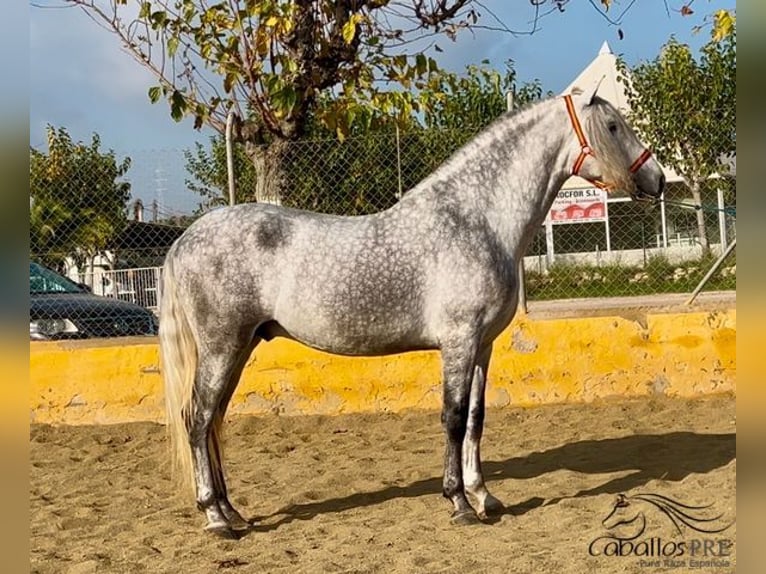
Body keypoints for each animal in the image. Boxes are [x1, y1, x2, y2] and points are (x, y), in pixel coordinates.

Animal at [160, 86, 664, 540]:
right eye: (613, 125)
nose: (657, 180)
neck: (476, 220)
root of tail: (184, 239)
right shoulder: (459, 341)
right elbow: (453, 418)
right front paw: (459, 503)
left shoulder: (483, 346)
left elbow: (477, 418)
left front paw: (485, 497)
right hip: (222, 347)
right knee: (198, 419)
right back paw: (216, 518)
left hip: (240, 348)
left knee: (213, 421)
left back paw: (234, 512)